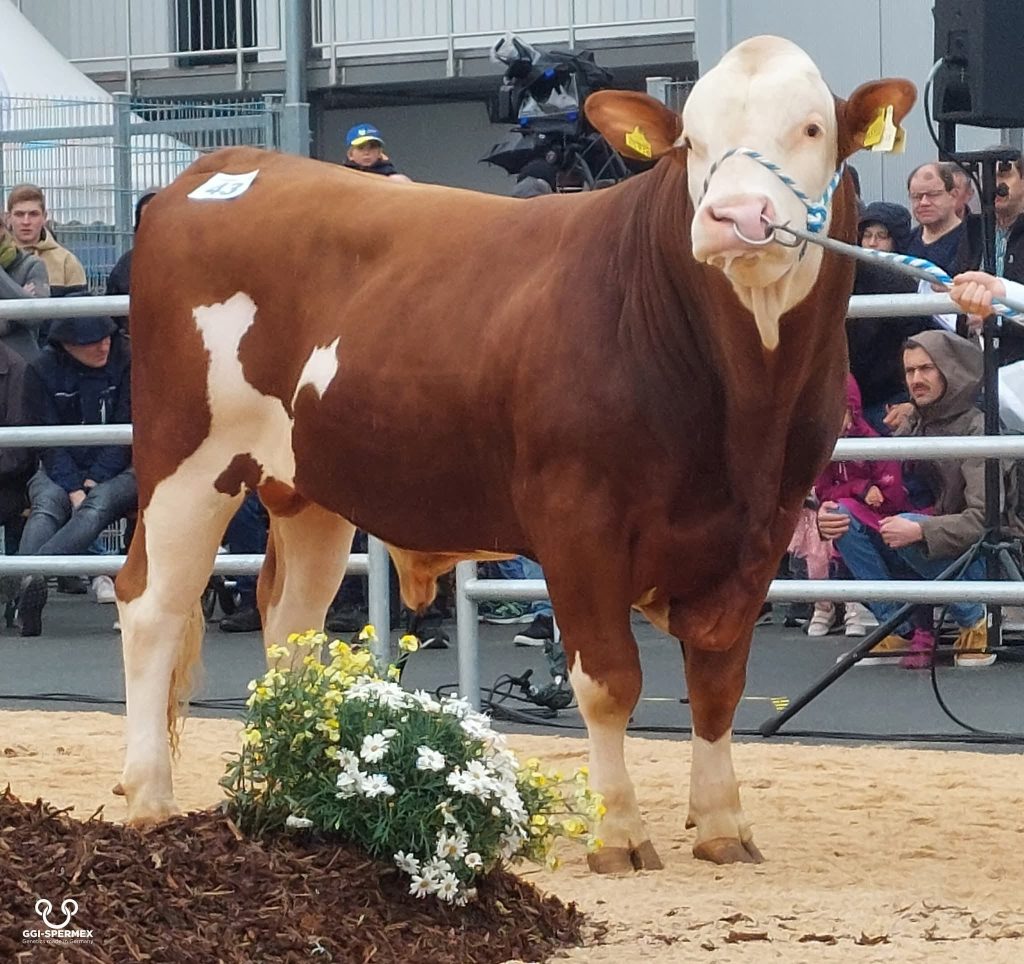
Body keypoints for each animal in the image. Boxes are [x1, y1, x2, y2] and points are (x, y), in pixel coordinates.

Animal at [115, 35, 914, 871]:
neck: (745, 408)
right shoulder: (579, 518)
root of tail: (224, 165)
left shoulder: (764, 525)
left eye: (812, 129)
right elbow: (609, 679)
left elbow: (720, 679)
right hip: (186, 457)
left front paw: (723, 824)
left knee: (290, 620)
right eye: (690, 143)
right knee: (153, 606)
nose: (733, 217)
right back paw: (151, 798)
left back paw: (285, 790)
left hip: (308, 485)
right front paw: (618, 833)